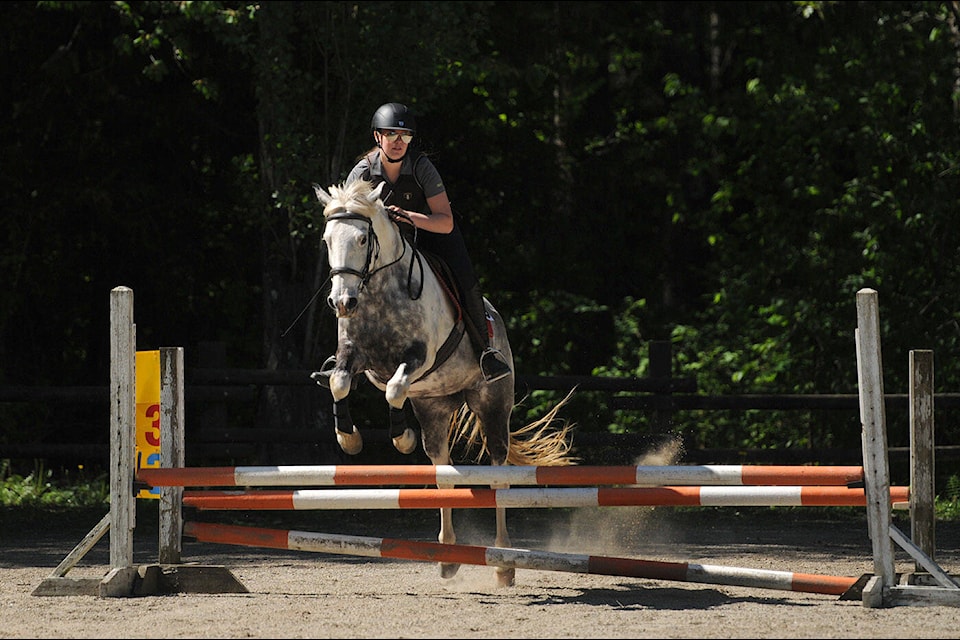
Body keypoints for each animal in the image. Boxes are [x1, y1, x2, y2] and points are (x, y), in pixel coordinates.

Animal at [312, 179, 572, 584]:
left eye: (361, 239)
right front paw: (349, 439)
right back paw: (448, 557)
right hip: (433, 409)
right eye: (327, 240)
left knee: (498, 476)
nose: (342, 302)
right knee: (443, 473)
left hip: (493, 406)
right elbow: (340, 383)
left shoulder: (419, 357)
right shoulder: (352, 356)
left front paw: (401, 439)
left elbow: (394, 388)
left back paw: (504, 562)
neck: (378, 291)